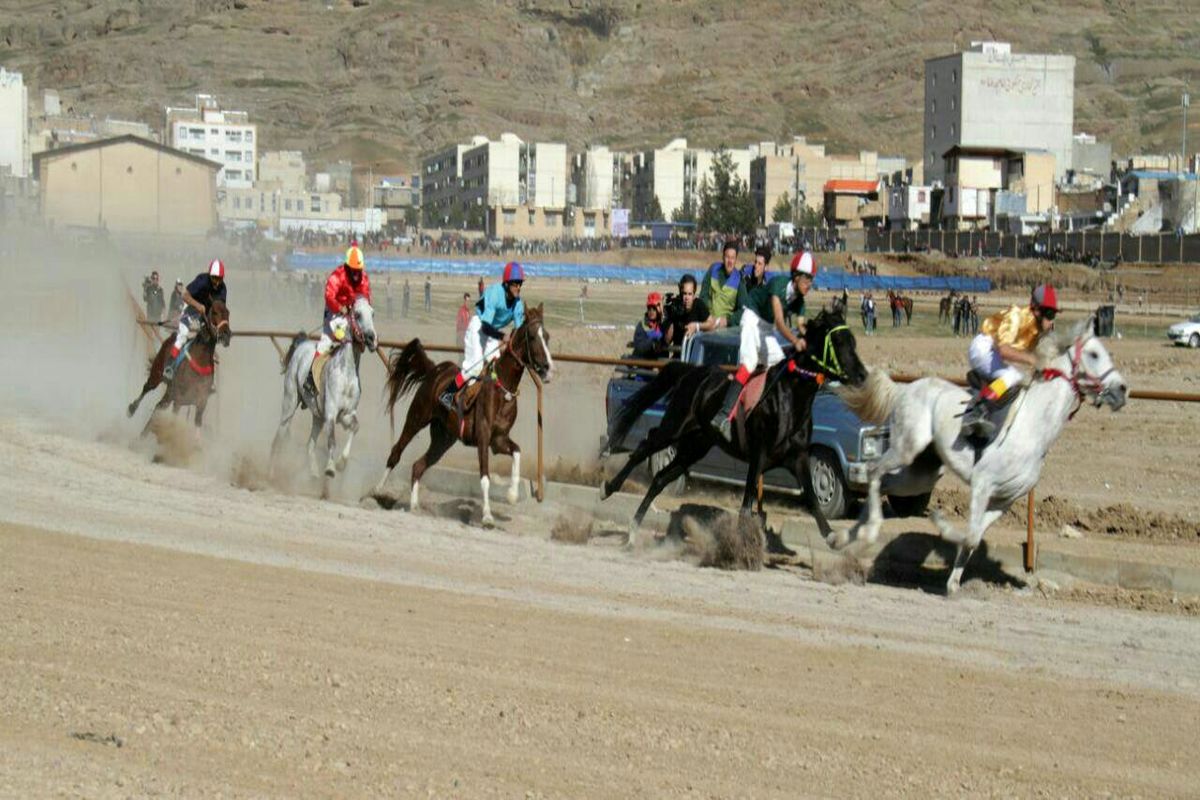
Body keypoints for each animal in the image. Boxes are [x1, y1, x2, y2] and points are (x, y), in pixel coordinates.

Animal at [126, 299, 231, 429]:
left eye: (228, 313)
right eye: (215, 312)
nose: (226, 335)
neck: (200, 359)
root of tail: (171, 337)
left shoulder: (200, 403)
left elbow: (197, 424)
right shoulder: (178, 399)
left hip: (170, 394)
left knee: (159, 406)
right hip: (157, 374)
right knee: (147, 388)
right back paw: (132, 409)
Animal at [271, 296, 374, 479]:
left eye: (373, 314)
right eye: (358, 314)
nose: (371, 338)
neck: (346, 374)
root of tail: (302, 344)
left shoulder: (346, 414)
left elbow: (355, 427)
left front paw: (341, 463)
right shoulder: (331, 412)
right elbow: (332, 440)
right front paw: (331, 468)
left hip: (317, 416)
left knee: (309, 444)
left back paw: (313, 472)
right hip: (289, 403)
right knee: (279, 436)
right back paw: (271, 473)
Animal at [372, 303, 554, 527]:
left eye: (547, 336)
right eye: (533, 336)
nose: (548, 368)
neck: (502, 388)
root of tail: (435, 370)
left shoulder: (498, 440)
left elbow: (517, 451)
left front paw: (512, 494)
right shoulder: (483, 436)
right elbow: (484, 477)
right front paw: (487, 516)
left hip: (443, 439)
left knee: (418, 466)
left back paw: (414, 506)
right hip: (416, 417)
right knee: (396, 452)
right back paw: (379, 490)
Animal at [604, 309, 868, 546]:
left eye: (854, 342)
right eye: (838, 341)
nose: (862, 375)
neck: (790, 398)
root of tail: (691, 371)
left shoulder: (799, 457)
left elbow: (812, 498)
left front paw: (833, 536)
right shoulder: (758, 455)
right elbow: (747, 503)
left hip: (695, 446)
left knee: (660, 478)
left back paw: (633, 530)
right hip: (674, 427)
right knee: (644, 446)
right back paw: (608, 488)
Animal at [835, 316, 1123, 594]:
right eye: (1094, 354)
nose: (1122, 389)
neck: (1033, 427)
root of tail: (905, 389)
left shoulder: (1004, 500)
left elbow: (974, 538)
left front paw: (953, 584)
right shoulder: (982, 484)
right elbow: (971, 535)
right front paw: (940, 522)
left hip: (921, 474)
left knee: (884, 482)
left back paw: (847, 536)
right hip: (906, 447)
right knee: (874, 470)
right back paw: (868, 531)